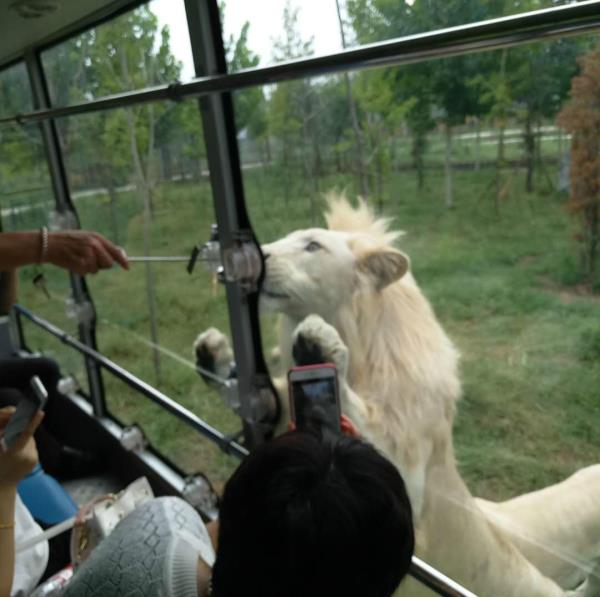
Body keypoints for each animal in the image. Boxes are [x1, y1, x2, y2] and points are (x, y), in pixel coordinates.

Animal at [196, 193, 600, 592]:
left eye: (312, 245)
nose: (254, 259)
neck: (359, 338)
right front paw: (214, 355)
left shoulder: (410, 474)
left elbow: (364, 424)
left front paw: (319, 344)